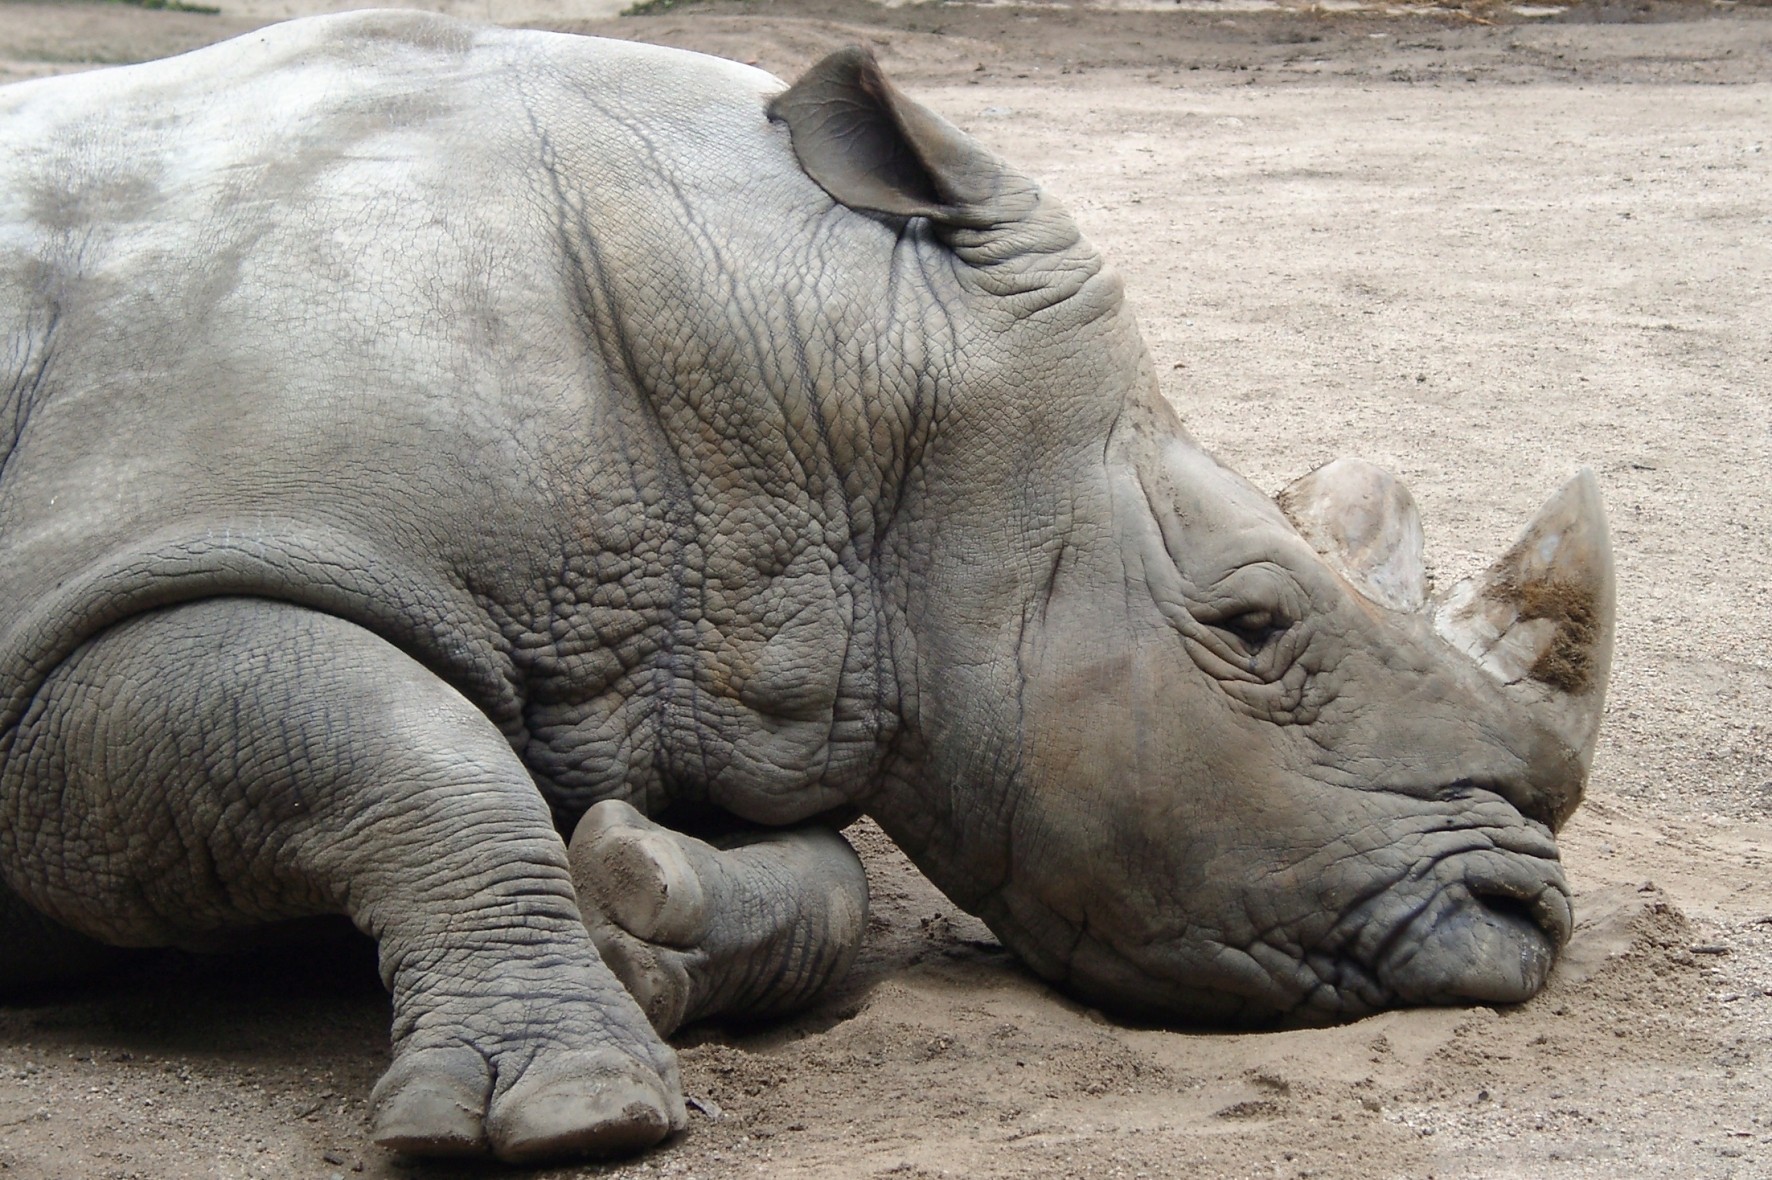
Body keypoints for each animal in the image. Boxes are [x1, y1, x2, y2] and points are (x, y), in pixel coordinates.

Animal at [0, 10, 1613, 1165]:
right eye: (1254, 625)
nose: (1525, 919)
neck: (814, 388)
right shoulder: (91, 602)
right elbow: (402, 752)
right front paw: (575, 1107)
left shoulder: (707, 652)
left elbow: (824, 877)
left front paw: (634, 916)